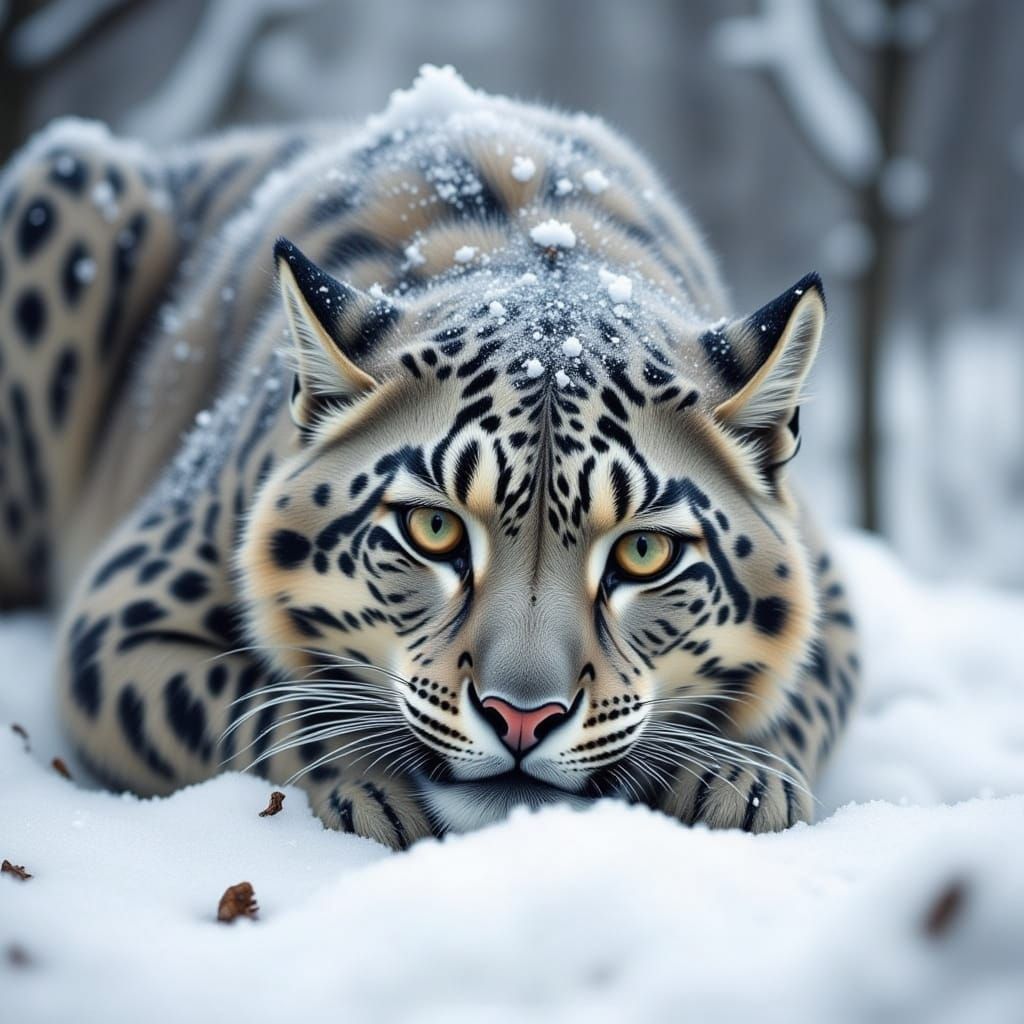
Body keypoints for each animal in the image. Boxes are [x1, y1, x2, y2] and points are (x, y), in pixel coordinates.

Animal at [0, 66, 859, 849]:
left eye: (644, 553)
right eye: (433, 531)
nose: (523, 717)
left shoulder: (835, 603)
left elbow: (799, 695)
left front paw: (737, 777)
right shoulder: (118, 619)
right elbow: (263, 704)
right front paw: (365, 789)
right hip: (69, 173)